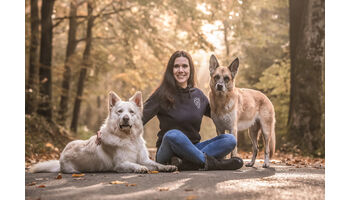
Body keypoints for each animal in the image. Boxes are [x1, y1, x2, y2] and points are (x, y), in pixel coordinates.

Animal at [29, 91, 178, 173]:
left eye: (131, 112)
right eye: (120, 112)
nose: (125, 118)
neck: (128, 139)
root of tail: (60, 158)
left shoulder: (144, 159)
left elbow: (156, 164)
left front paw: (167, 167)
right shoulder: (121, 164)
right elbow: (134, 164)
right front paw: (140, 168)